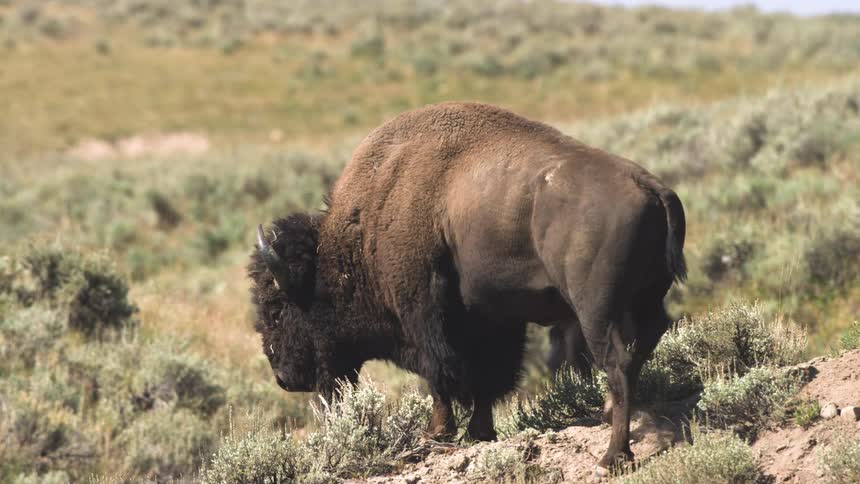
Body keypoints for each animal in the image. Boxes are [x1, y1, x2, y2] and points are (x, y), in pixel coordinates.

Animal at [248, 102, 686, 469]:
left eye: (276, 309)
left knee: (617, 363)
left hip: (595, 310)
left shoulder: (425, 314)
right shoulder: (494, 319)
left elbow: (441, 375)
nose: (284, 377)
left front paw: (435, 435)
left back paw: (613, 456)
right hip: (647, 300)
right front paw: (481, 432)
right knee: (644, 346)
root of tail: (649, 184)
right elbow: (487, 378)